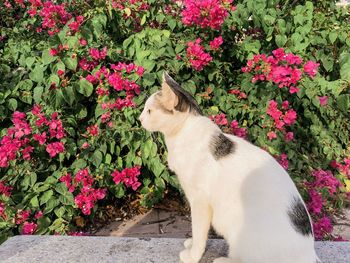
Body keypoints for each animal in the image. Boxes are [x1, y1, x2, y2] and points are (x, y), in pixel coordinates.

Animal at [138, 72, 322, 263]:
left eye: (149, 110)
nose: (140, 119)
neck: (183, 134)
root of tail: (308, 254)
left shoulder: (200, 201)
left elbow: (199, 231)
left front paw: (193, 255)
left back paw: (223, 260)